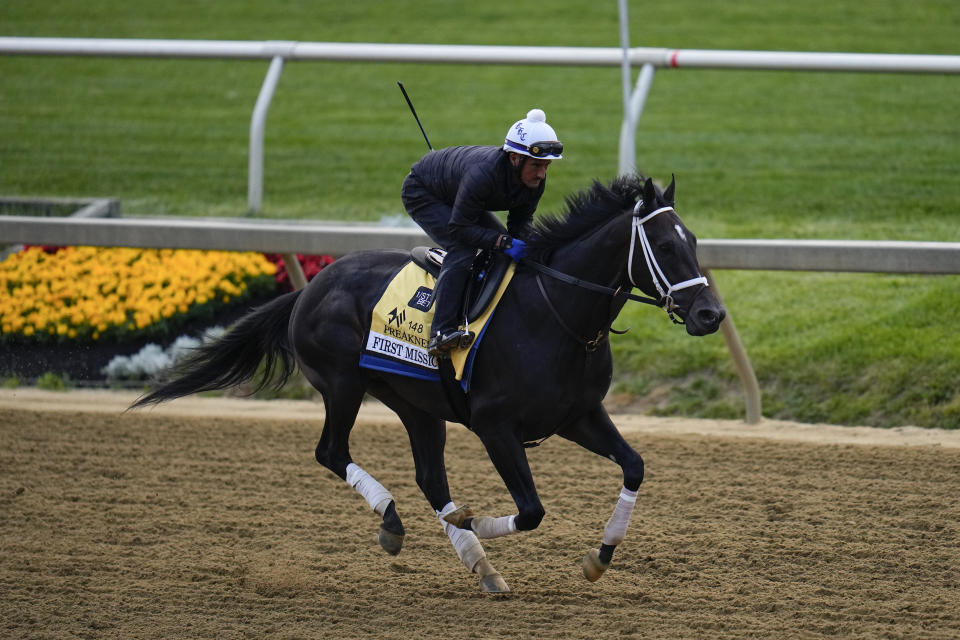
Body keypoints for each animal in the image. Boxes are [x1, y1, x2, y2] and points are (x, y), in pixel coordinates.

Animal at [131, 172, 724, 592]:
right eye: (665, 247)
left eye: (694, 239)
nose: (711, 314)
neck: (557, 314)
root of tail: (311, 287)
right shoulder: (494, 426)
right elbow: (532, 511)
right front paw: (474, 519)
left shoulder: (578, 415)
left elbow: (635, 466)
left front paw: (598, 559)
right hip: (343, 385)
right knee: (331, 452)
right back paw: (397, 522)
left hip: (417, 404)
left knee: (429, 477)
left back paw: (481, 567)